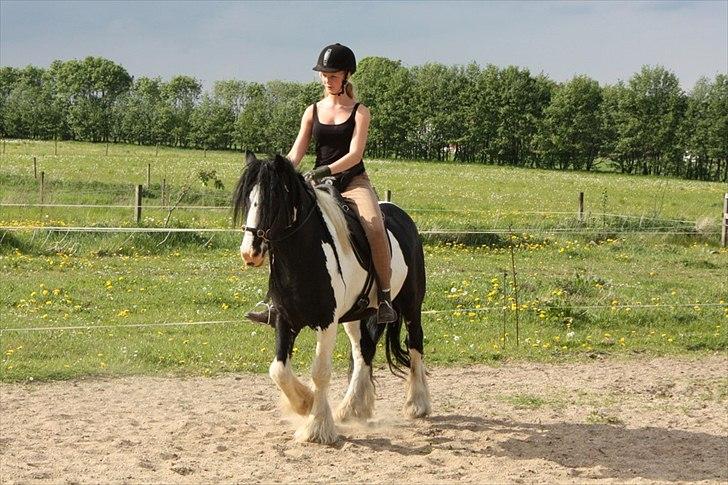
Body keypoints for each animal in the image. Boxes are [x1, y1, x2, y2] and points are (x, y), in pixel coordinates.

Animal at [230, 153, 430, 444]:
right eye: (248, 198)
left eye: (273, 198)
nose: (250, 253)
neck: (303, 255)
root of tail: (403, 216)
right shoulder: (284, 319)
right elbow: (278, 370)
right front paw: (304, 403)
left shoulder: (326, 322)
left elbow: (320, 372)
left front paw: (317, 427)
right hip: (357, 315)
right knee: (362, 351)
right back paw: (351, 408)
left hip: (411, 305)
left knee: (415, 344)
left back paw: (417, 404)